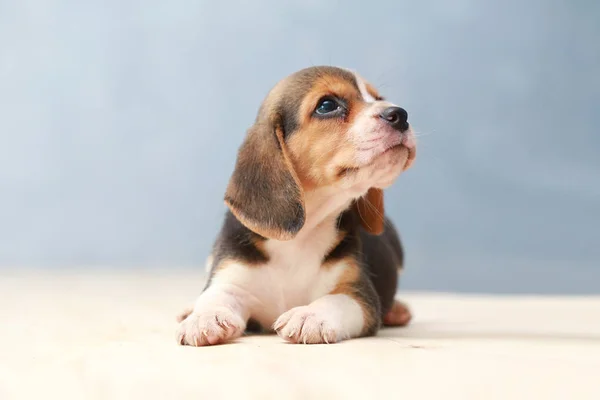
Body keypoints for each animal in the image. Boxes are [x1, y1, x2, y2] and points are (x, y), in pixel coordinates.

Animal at [176, 66, 414, 346]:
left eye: (378, 99)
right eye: (327, 105)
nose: (400, 114)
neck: (302, 234)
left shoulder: (358, 293)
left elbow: (334, 301)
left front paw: (310, 316)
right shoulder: (231, 277)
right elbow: (215, 295)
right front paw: (204, 317)